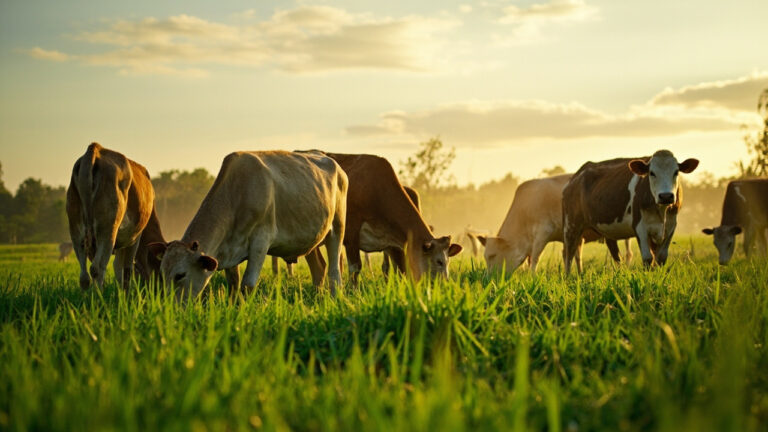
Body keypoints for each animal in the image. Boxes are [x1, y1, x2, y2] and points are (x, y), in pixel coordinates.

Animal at [66, 143, 156, 289]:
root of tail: (95, 149)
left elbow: (118, 268)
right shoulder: (135, 238)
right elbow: (127, 270)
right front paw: (125, 293)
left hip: (75, 228)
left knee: (84, 276)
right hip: (108, 230)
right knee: (97, 268)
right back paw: (98, 295)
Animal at [149, 151, 348, 298]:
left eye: (180, 275)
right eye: (162, 273)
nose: (171, 308)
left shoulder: (261, 241)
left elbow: (247, 285)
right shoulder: (229, 248)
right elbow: (234, 285)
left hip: (337, 227)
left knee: (335, 272)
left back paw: (334, 297)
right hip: (309, 235)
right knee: (319, 269)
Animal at [303, 152, 462, 284]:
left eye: (448, 261)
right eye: (439, 261)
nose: (445, 284)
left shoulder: (394, 242)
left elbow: (400, 270)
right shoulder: (351, 233)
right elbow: (355, 268)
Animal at [478, 174, 631, 273]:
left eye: (492, 255)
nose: (488, 280)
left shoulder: (543, 233)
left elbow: (535, 258)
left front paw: (532, 277)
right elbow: (573, 256)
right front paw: (579, 275)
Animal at [562, 150, 699, 274]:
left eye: (676, 172)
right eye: (651, 173)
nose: (665, 196)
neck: (661, 212)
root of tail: (575, 178)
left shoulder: (670, 226)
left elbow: (660, 258)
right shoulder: (640, 226)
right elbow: (648, 258)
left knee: (612, 255)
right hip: (571, 225)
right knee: (569, 253)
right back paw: (568, 277)